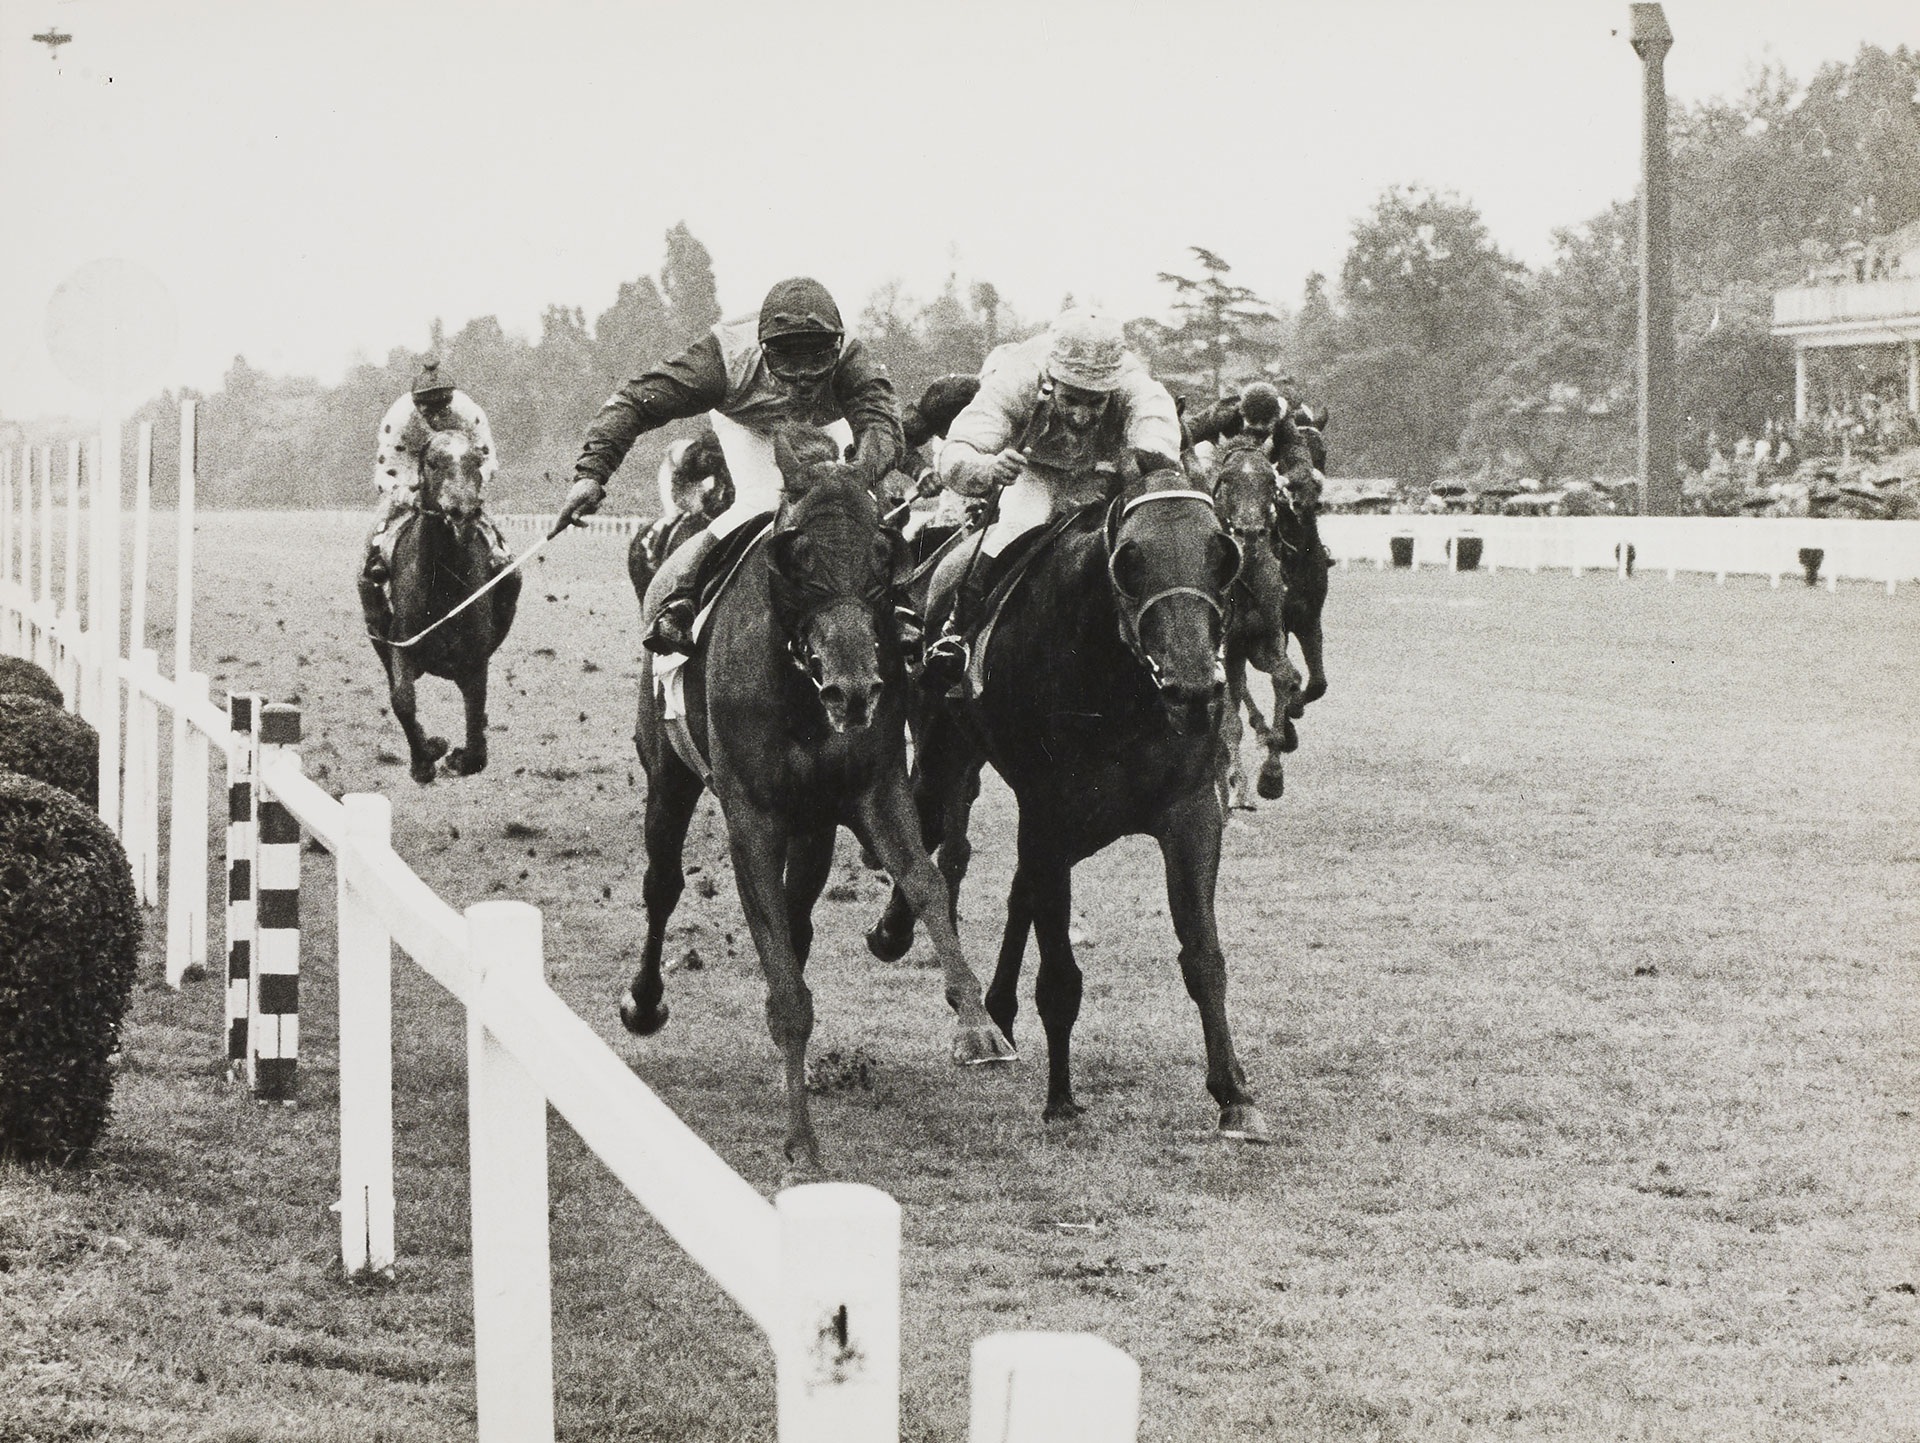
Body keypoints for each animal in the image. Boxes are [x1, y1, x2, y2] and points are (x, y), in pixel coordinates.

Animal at [362, 431, 518, 782]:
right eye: (433, 463)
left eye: (476, 460)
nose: (463, 511)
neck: (443, 582)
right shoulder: (402, 645)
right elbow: (402, 699)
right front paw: (426, 756)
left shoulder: (474, 659)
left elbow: (476, 715)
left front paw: (462, 756)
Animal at [629, 422, 1021, 1174]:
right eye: (796, 554)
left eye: (882, 553)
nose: (854, 688)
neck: (804, 699)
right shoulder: (752, 818)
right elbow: (783, 975)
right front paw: (801, 1138)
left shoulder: (873, 788)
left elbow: (924, 879)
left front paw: (979, 1025)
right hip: (669, 777)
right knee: (662, 884)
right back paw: (643, 1001)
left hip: (812, 826)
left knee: (802, 912)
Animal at [871, 470, 1274, 1135]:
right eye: (1128, 560)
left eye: (1223, 555)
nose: (1193, 687)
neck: (1121, 691)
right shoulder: (1049, 814)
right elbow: (1059, 971)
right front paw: (1060, 1097)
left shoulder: (1190, 812)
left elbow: (1203, 957)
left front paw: (1234, 1095)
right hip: (946, 744)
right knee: (926, 825)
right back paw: (898, 937)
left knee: (1016, 889)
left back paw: (997, 1010)